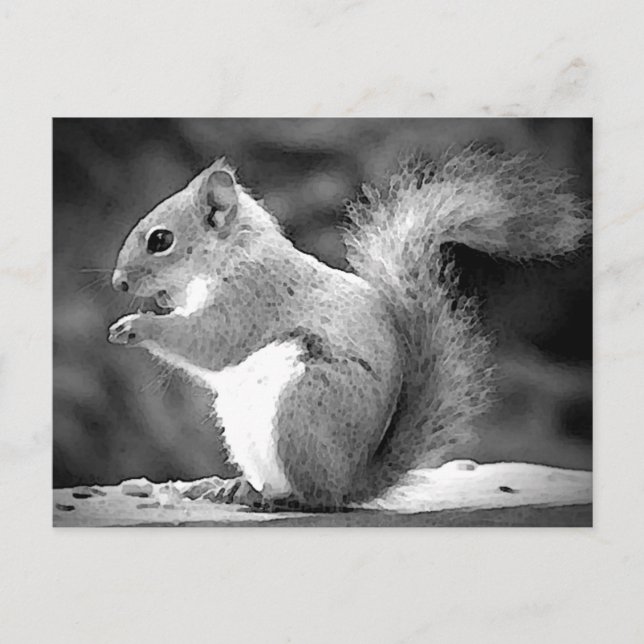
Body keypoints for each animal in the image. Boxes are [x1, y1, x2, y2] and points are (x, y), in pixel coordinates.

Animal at [107, 146, 590, 512]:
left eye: (160, 240)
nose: (119, 283)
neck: (232, 254)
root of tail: (350, 483)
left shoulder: (252, 298)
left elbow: (208, 342)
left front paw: (137, 325)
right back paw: (228, 487)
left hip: (302, 409)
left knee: (313, 496)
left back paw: (273, 496)